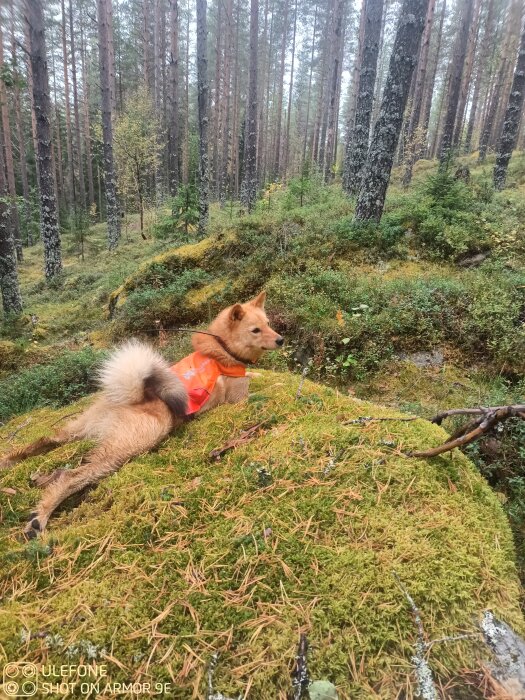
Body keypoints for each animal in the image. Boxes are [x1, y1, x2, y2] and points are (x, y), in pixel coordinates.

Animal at [0, 292, 282, 540]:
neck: (222, 348)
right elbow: (261, 384)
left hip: (79, 430)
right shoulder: (238, 398)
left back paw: (11, 463)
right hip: (131, 445)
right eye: (255, 330)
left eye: (268, 324)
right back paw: (40, 518)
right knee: (71, 476)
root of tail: (134, 394)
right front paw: (272, 381)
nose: (281, 340)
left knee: (46, 442)